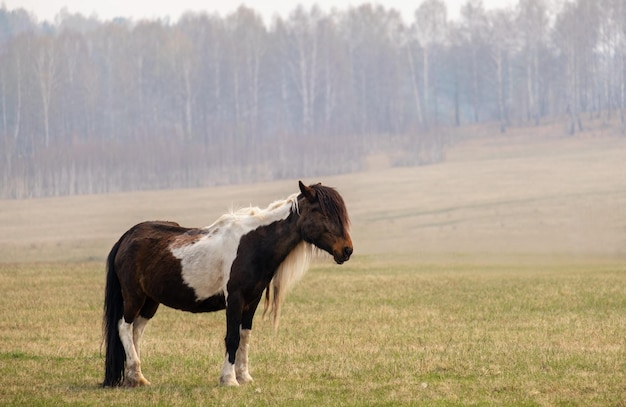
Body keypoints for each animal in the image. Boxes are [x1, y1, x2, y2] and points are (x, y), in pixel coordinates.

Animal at [105, 182, 354, 388]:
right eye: (321, 212)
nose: (347, 250)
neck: (254, 243)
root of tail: (128, 237)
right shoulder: (235, 299)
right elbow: (232, 337)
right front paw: (229, 379)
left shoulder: (252, 300)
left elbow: (245, 336)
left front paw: (244, 376)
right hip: (134, 297)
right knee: (124, 327)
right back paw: (136, 375)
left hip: (150, 301)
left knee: (136, 332)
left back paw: (134, 377)